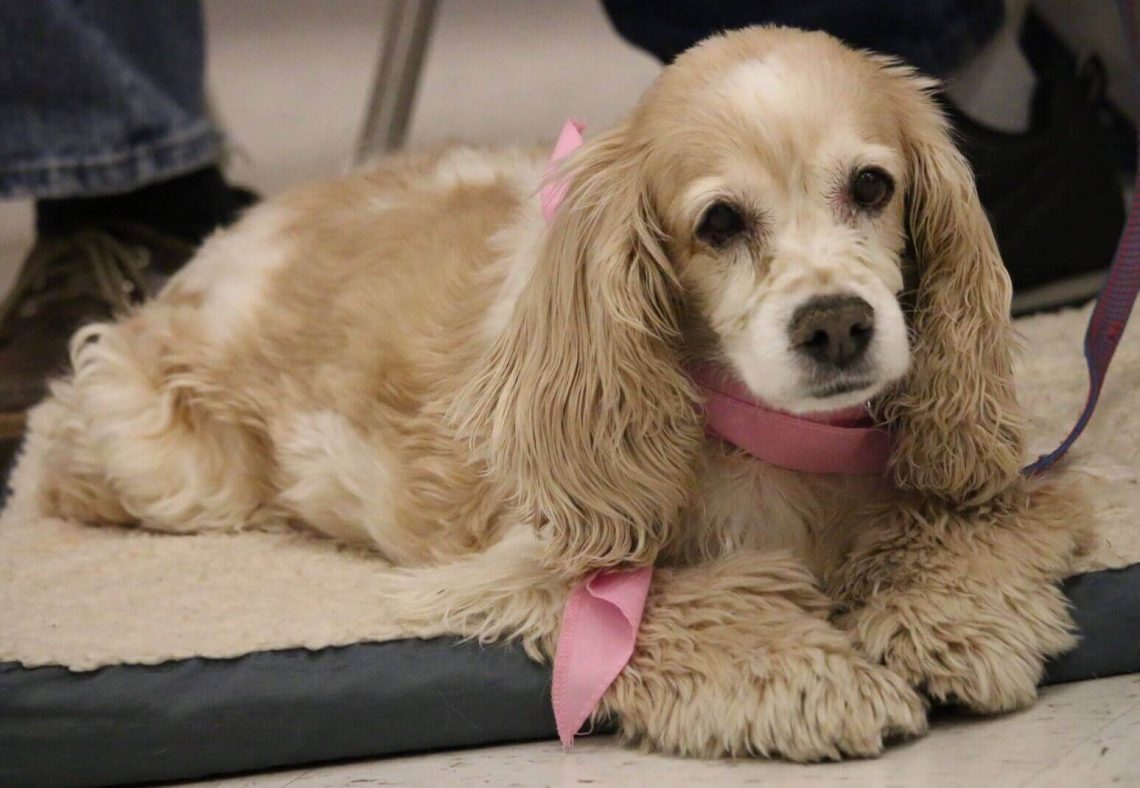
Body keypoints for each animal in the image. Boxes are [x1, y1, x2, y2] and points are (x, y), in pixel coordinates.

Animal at [26, 27, 1089, 761]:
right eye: (719, 222)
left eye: (872, 185)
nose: (836, 324)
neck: (782, 445)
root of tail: (237, 233)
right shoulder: (524, 568)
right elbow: (686, 603)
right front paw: (810, 679)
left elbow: (963, 522)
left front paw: (956, 618)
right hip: (169, 461)